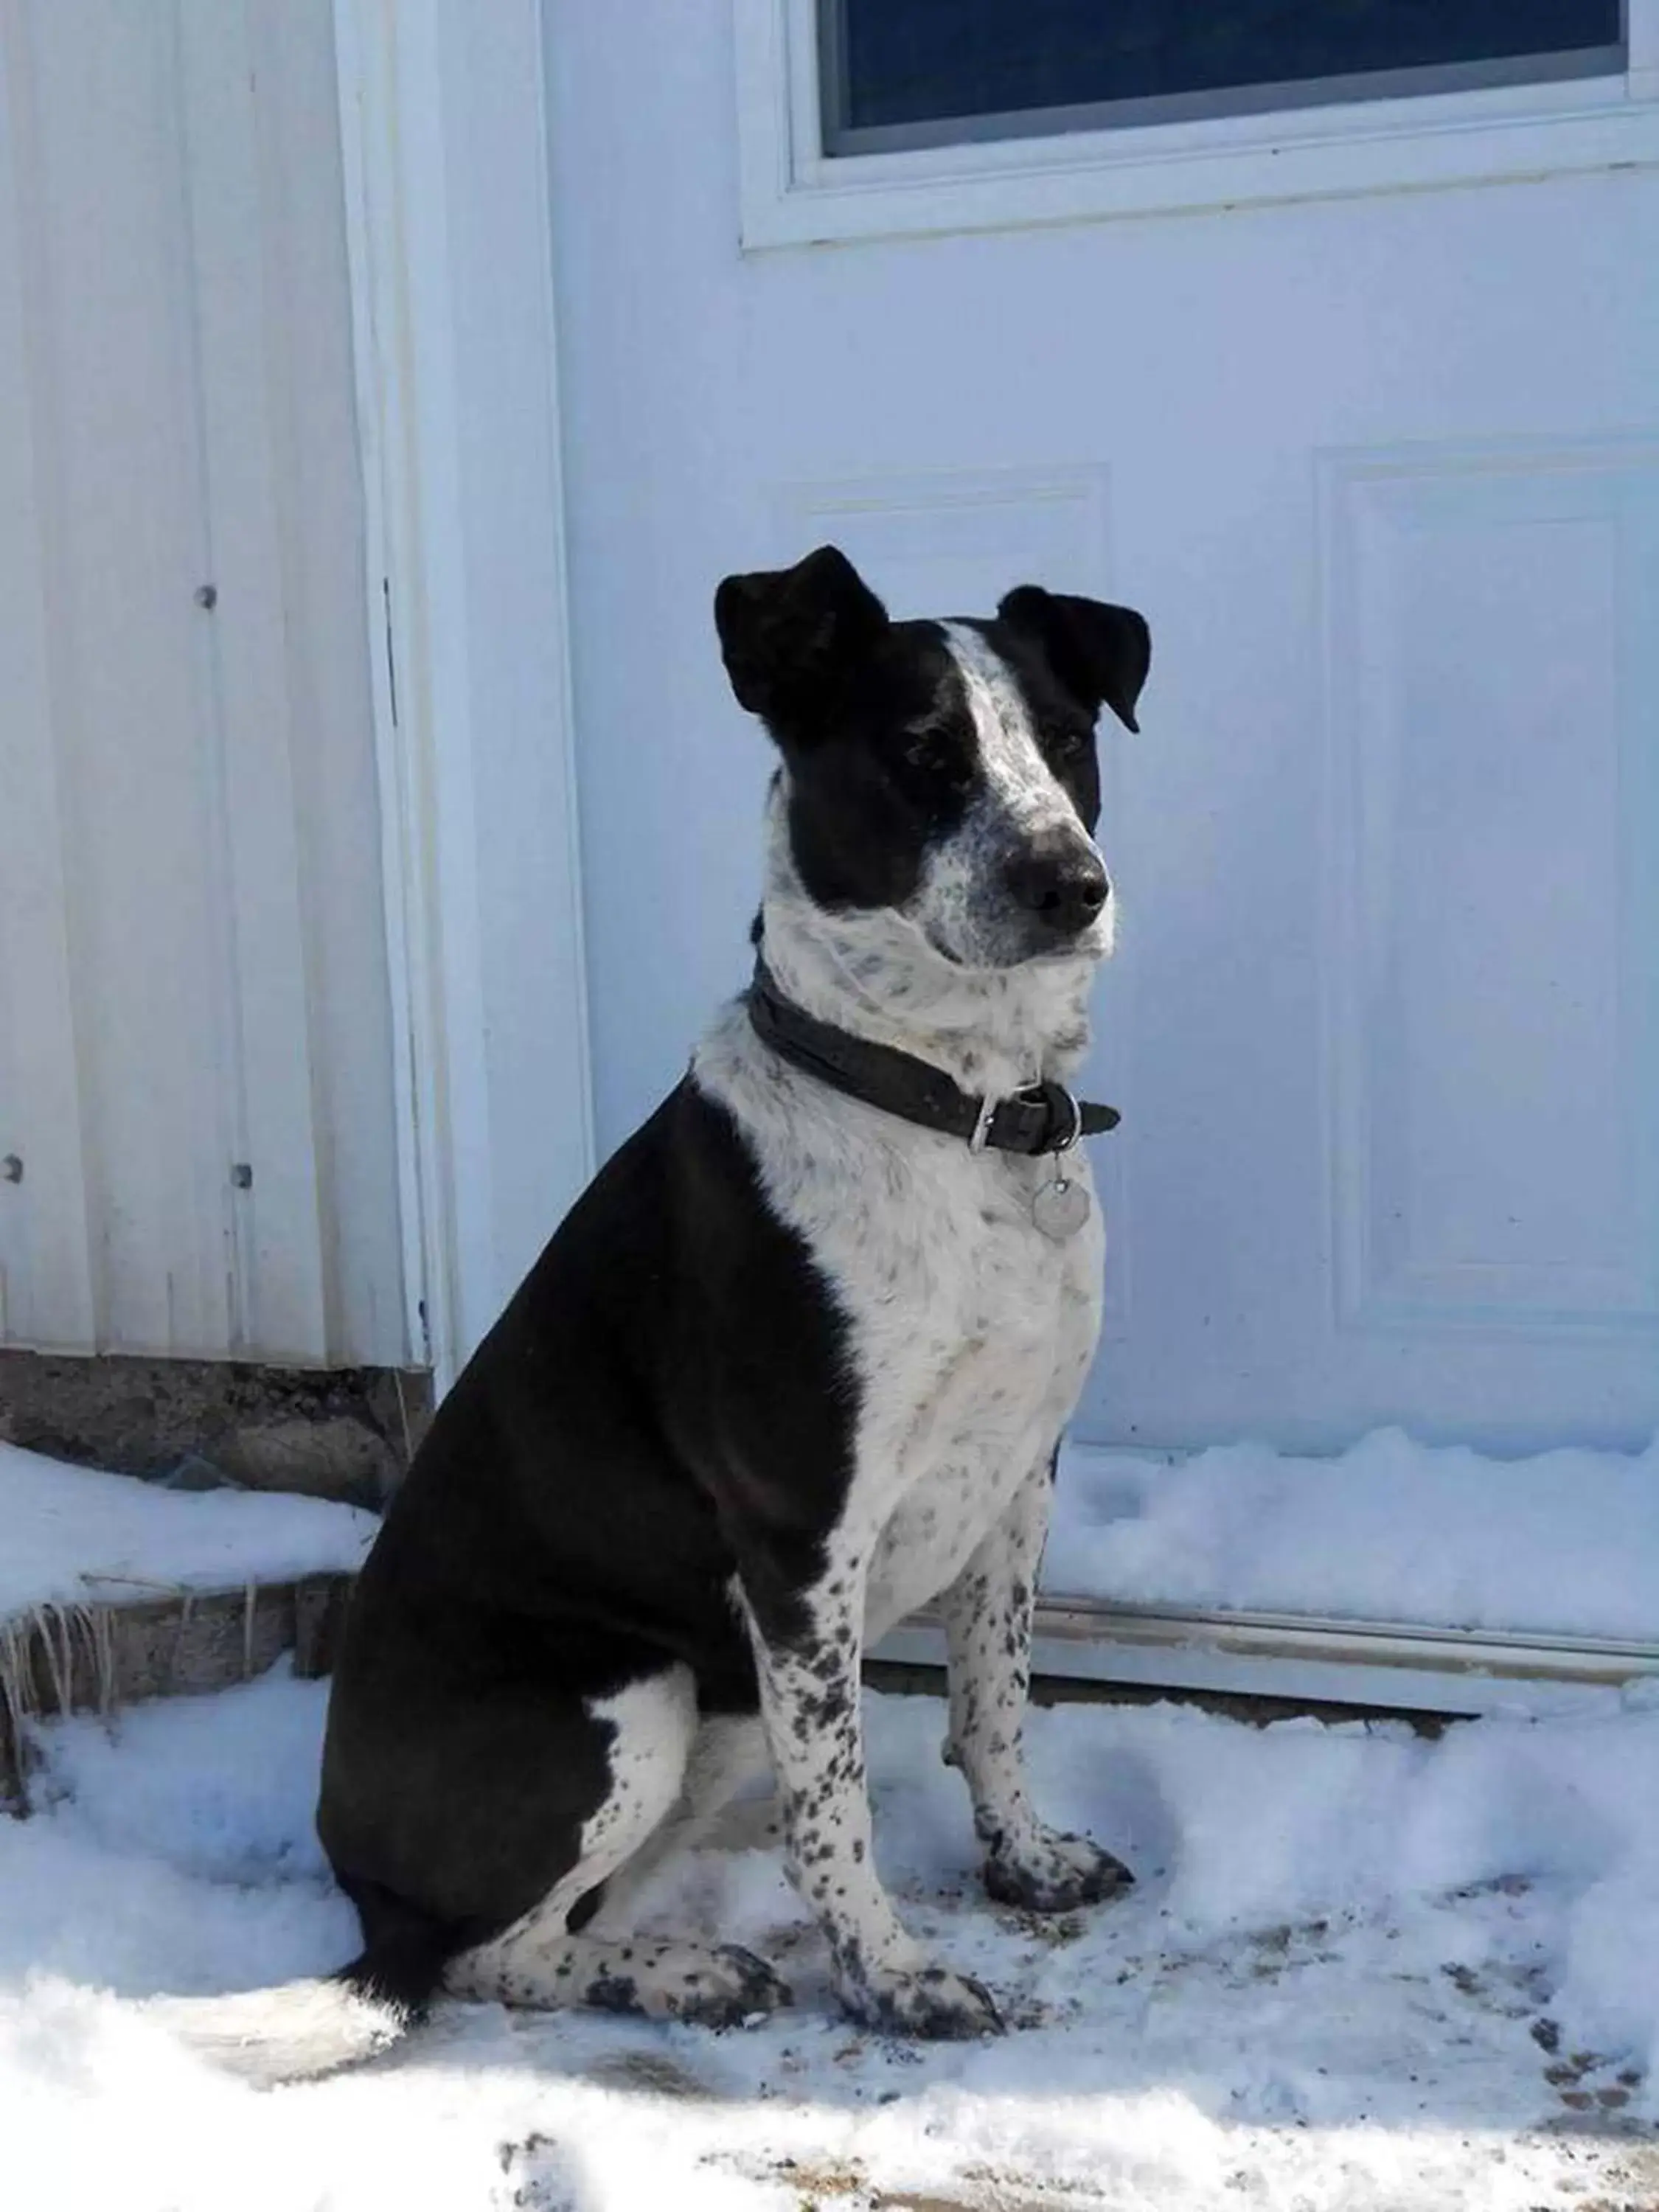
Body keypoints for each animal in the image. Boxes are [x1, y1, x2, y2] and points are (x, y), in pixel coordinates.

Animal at [166, 544, 1159, 2079]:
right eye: (923, 755)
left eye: (1065, 741)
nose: (1070, 884)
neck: (949, 1109)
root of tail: (364, 1893)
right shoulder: (801, 1538)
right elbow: (837, 1810)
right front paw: (892, 1980)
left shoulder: (1019, 1479)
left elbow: (995, 1704)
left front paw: (1028, 1862)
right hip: (634, 1695)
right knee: (492, 1958)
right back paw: (690, 1974)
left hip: (713, 1708)